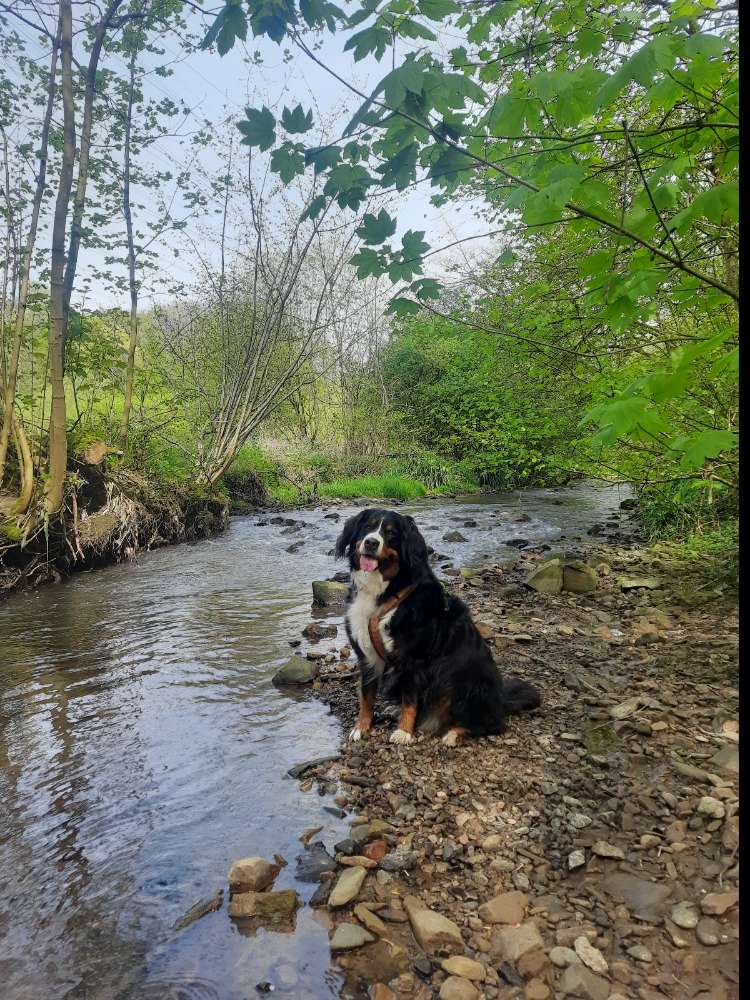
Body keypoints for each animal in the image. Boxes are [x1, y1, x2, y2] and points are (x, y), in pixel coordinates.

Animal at [338, 504, 544, 748]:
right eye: (367, 527)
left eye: (391, 533)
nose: (371, 542)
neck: (385, 592)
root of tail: (501, 701)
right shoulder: (367, 656)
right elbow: (366, 697)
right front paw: (361, 728)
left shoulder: (414, 658)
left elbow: (410, 698)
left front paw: (404, 732)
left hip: (460, 680)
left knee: (491, 725)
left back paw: (454, 733)